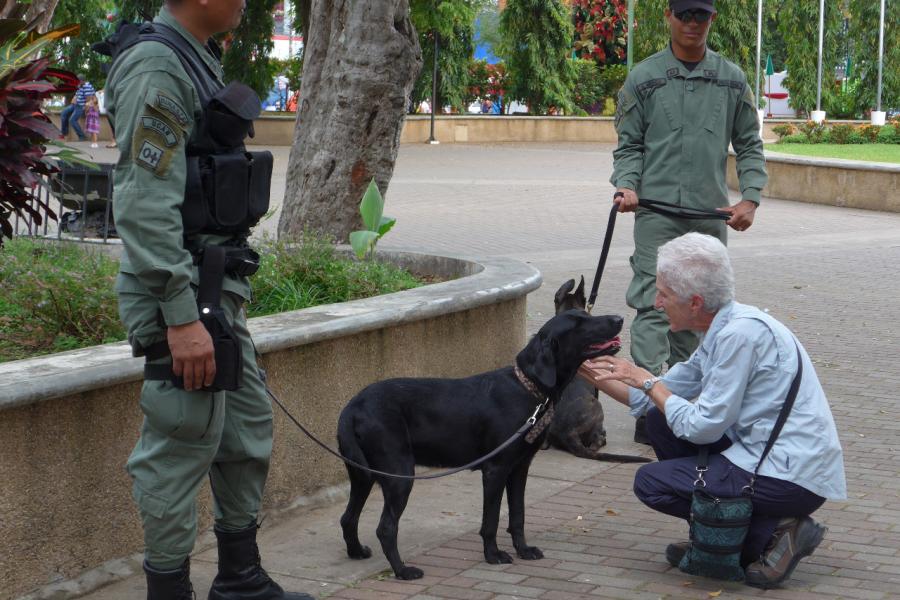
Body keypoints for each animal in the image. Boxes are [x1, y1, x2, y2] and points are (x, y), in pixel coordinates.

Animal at [334, 308, 624, 580]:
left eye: (585, 315)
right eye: (578, 323)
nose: (619, 319)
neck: (529, 389)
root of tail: (352, 406)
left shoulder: (519, 467)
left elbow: (517, 515)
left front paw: (523, 550)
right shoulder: (495, 469)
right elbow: (491, 520)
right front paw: (493, 555)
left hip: (363, 475)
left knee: (348, 517)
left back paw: (357, 551)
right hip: (399, 474)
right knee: (385, 528)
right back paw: (403, 571)